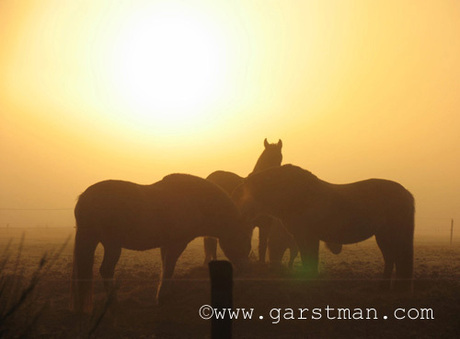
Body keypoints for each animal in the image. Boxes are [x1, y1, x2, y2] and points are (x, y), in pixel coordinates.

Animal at [71, 174, 252, 314]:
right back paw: (114, 303)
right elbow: (169, 269)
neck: (192, 200)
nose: (247, 271)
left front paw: (164, 295)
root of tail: (85, 198)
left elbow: (165, 268)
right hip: (112, 245)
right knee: (106, 270)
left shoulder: (166, 245)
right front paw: (162, 297)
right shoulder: (177, 244)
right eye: (242, 240)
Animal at [234, 165, 414, 292]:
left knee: (395, 258)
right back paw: (388, 286)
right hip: (384, 236)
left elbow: (311, 258)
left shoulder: (310, 236)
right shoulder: (301, 237)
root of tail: (406, 193)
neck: (293, 194)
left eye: (244, 192)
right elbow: (306, 257)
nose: (240, 214)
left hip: (391, 235)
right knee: (391, 258)